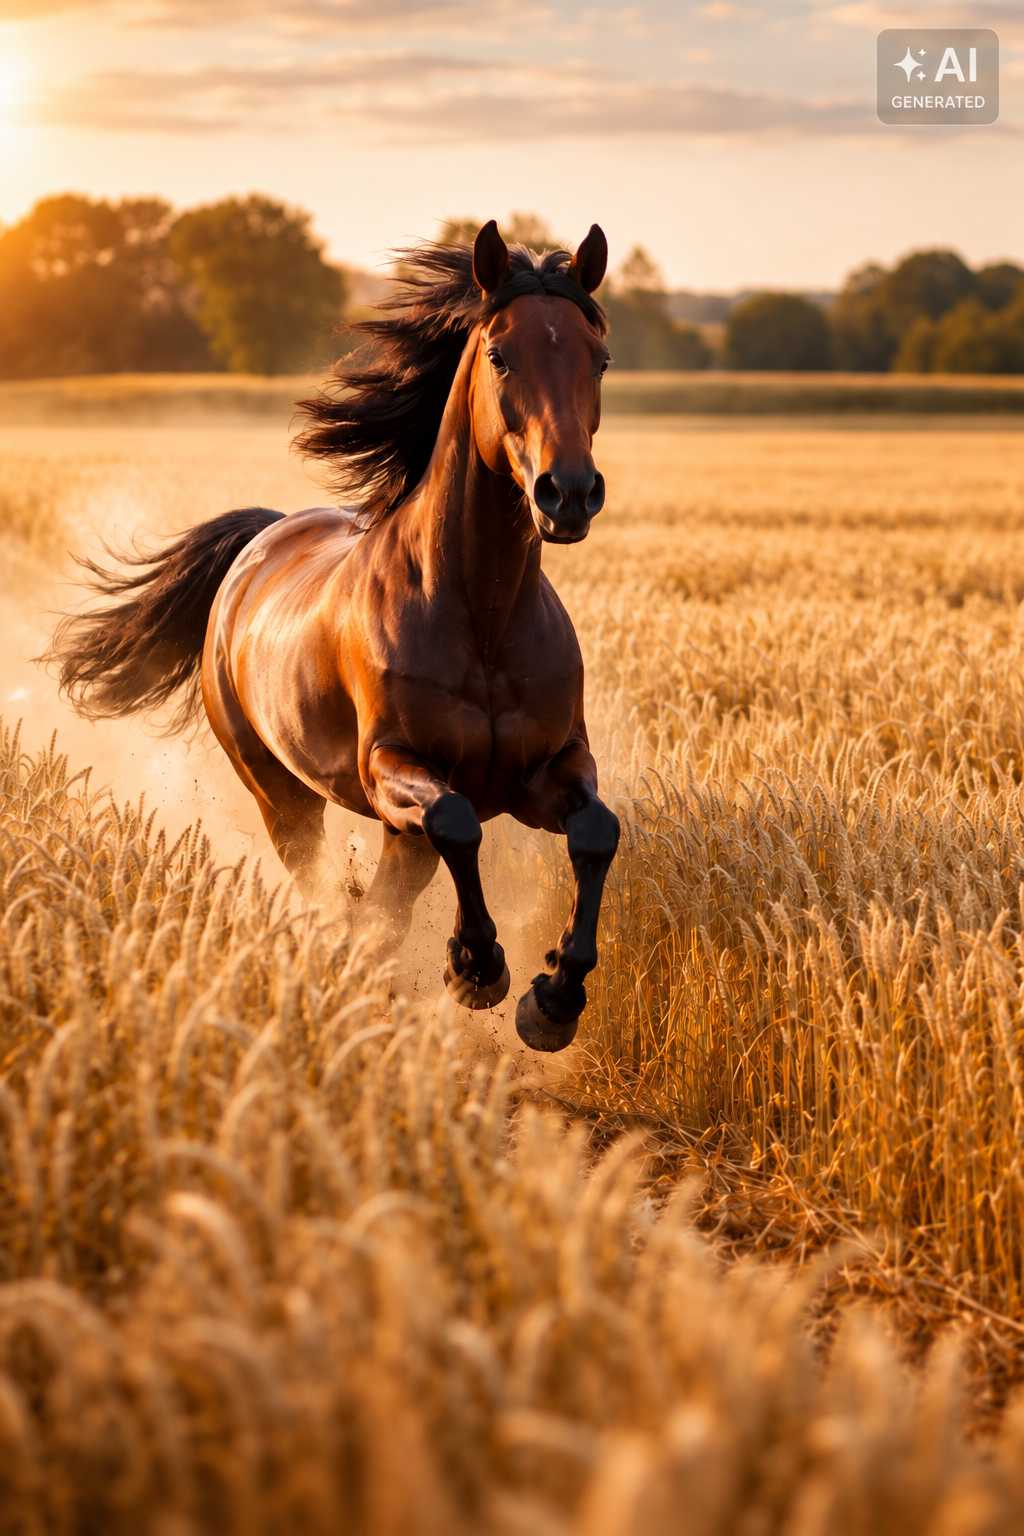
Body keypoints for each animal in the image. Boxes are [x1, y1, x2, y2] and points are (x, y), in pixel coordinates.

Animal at [49, 219, 620, 1053]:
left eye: (597, 356)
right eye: (500, 354)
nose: (568, 493)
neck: (481, 616)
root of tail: (260, 541)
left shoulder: (548, 769)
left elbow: (596, 834)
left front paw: (553, 998)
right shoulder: (391, 769)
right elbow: (456, 824)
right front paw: (477, 967)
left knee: (390, 901)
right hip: (280, 794)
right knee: (334, 882)